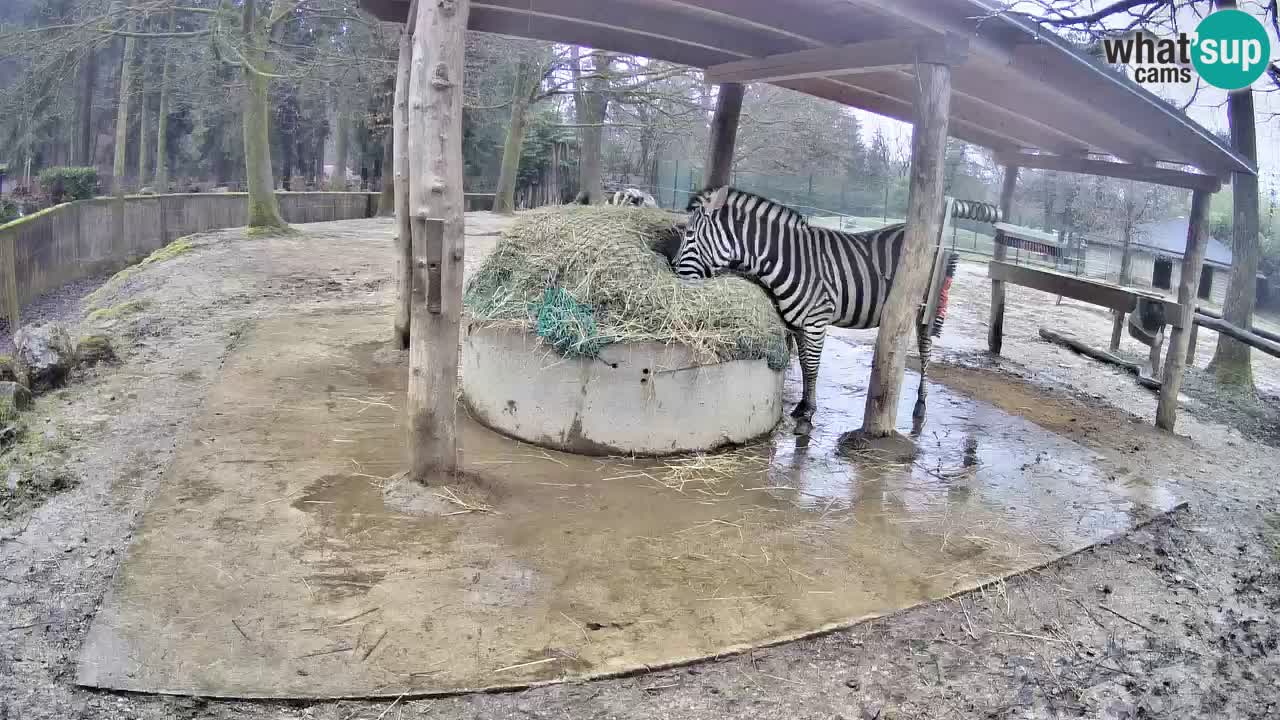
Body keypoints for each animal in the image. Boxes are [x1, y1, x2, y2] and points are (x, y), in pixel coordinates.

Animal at [675, 186, 996, 436]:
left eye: (690, 234)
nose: (675, 271)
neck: (788, 260)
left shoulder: (817, 321)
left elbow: (813, 367)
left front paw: (808, 415)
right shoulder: (797, 322)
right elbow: (804, 364)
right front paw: (802, 406)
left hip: (922, 310)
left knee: (926, 351)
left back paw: (920, 405)